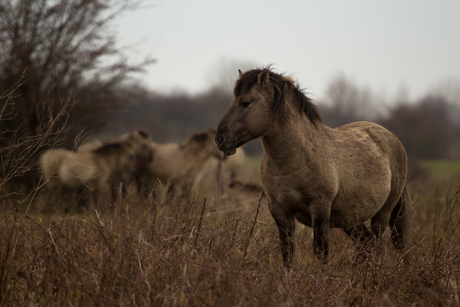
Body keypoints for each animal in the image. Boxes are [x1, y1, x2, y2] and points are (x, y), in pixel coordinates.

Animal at [214, 67, 408, 268]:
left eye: (245, 102)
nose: (220, 139)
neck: (294, 160)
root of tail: (390, 139)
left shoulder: (320, 208)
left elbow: (320, 250)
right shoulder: (279, 210)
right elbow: (287, 252)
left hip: (382, 213)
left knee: (377, 244)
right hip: (350, 218)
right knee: (366, 244)